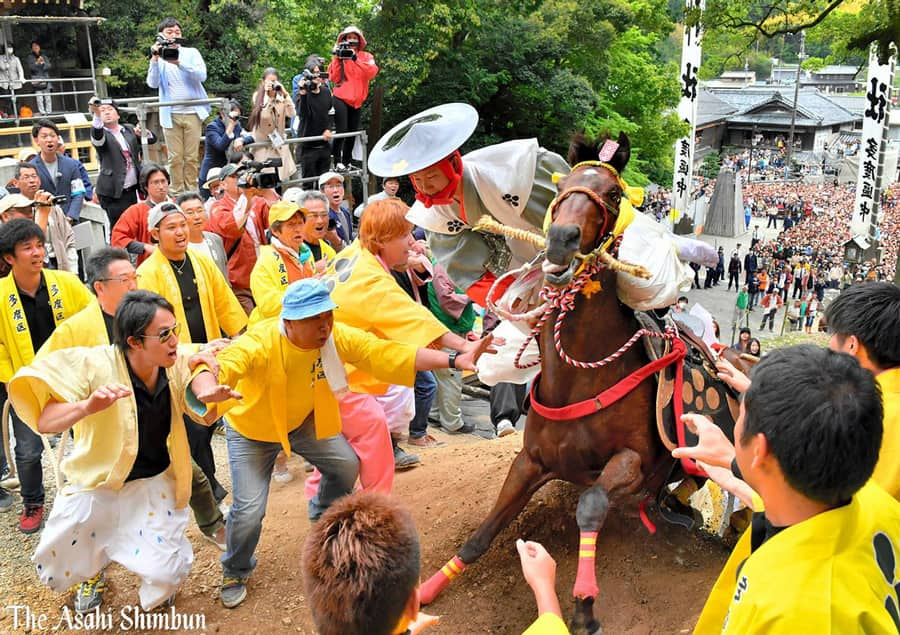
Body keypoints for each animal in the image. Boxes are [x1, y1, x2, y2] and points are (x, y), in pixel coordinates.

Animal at [420, 132, 724, 632]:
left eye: (614, 193)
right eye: (562, 188)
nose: (562, 239)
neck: (583, 376)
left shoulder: (633, 459)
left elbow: (592, 505)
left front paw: (584, 603)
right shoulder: (529, 461)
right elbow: (485, 531)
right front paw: (427, 589)